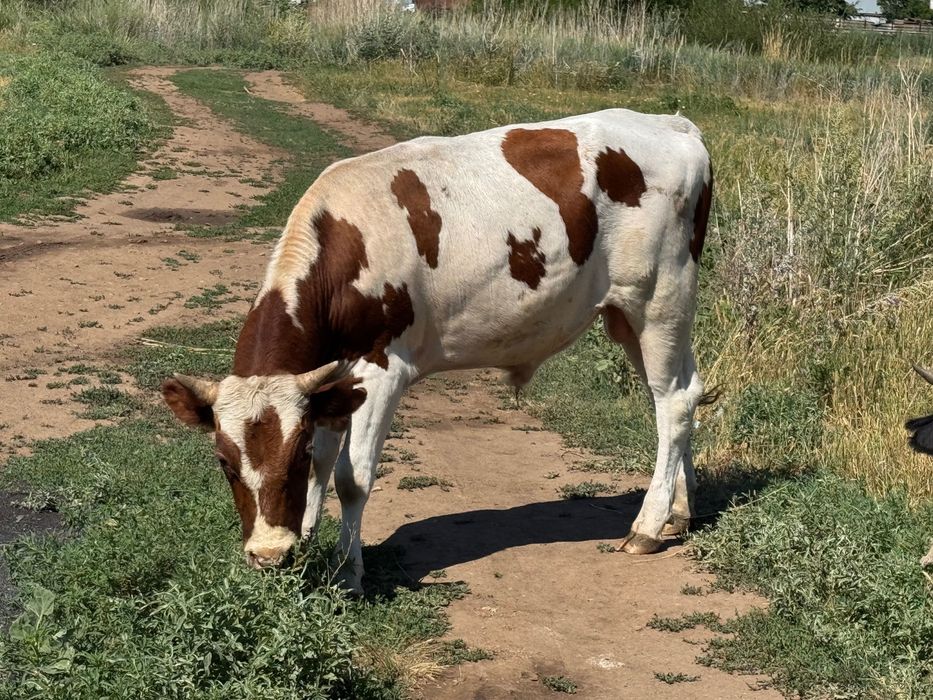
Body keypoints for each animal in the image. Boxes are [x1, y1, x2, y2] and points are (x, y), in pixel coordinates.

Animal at [161, 108, 713, 593]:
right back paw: (678, 512)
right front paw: (310, 539)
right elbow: (326, 460)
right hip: (627, 315)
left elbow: (351, 477)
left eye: (290, 456)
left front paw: (347, 572)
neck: (343, 245)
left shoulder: (380, 369)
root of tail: (674, 125)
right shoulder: (329, 378)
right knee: (685, 393)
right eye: (224, 461)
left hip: (659, 298)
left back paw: (646, 526)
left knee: (671, 402)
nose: (268, 554)